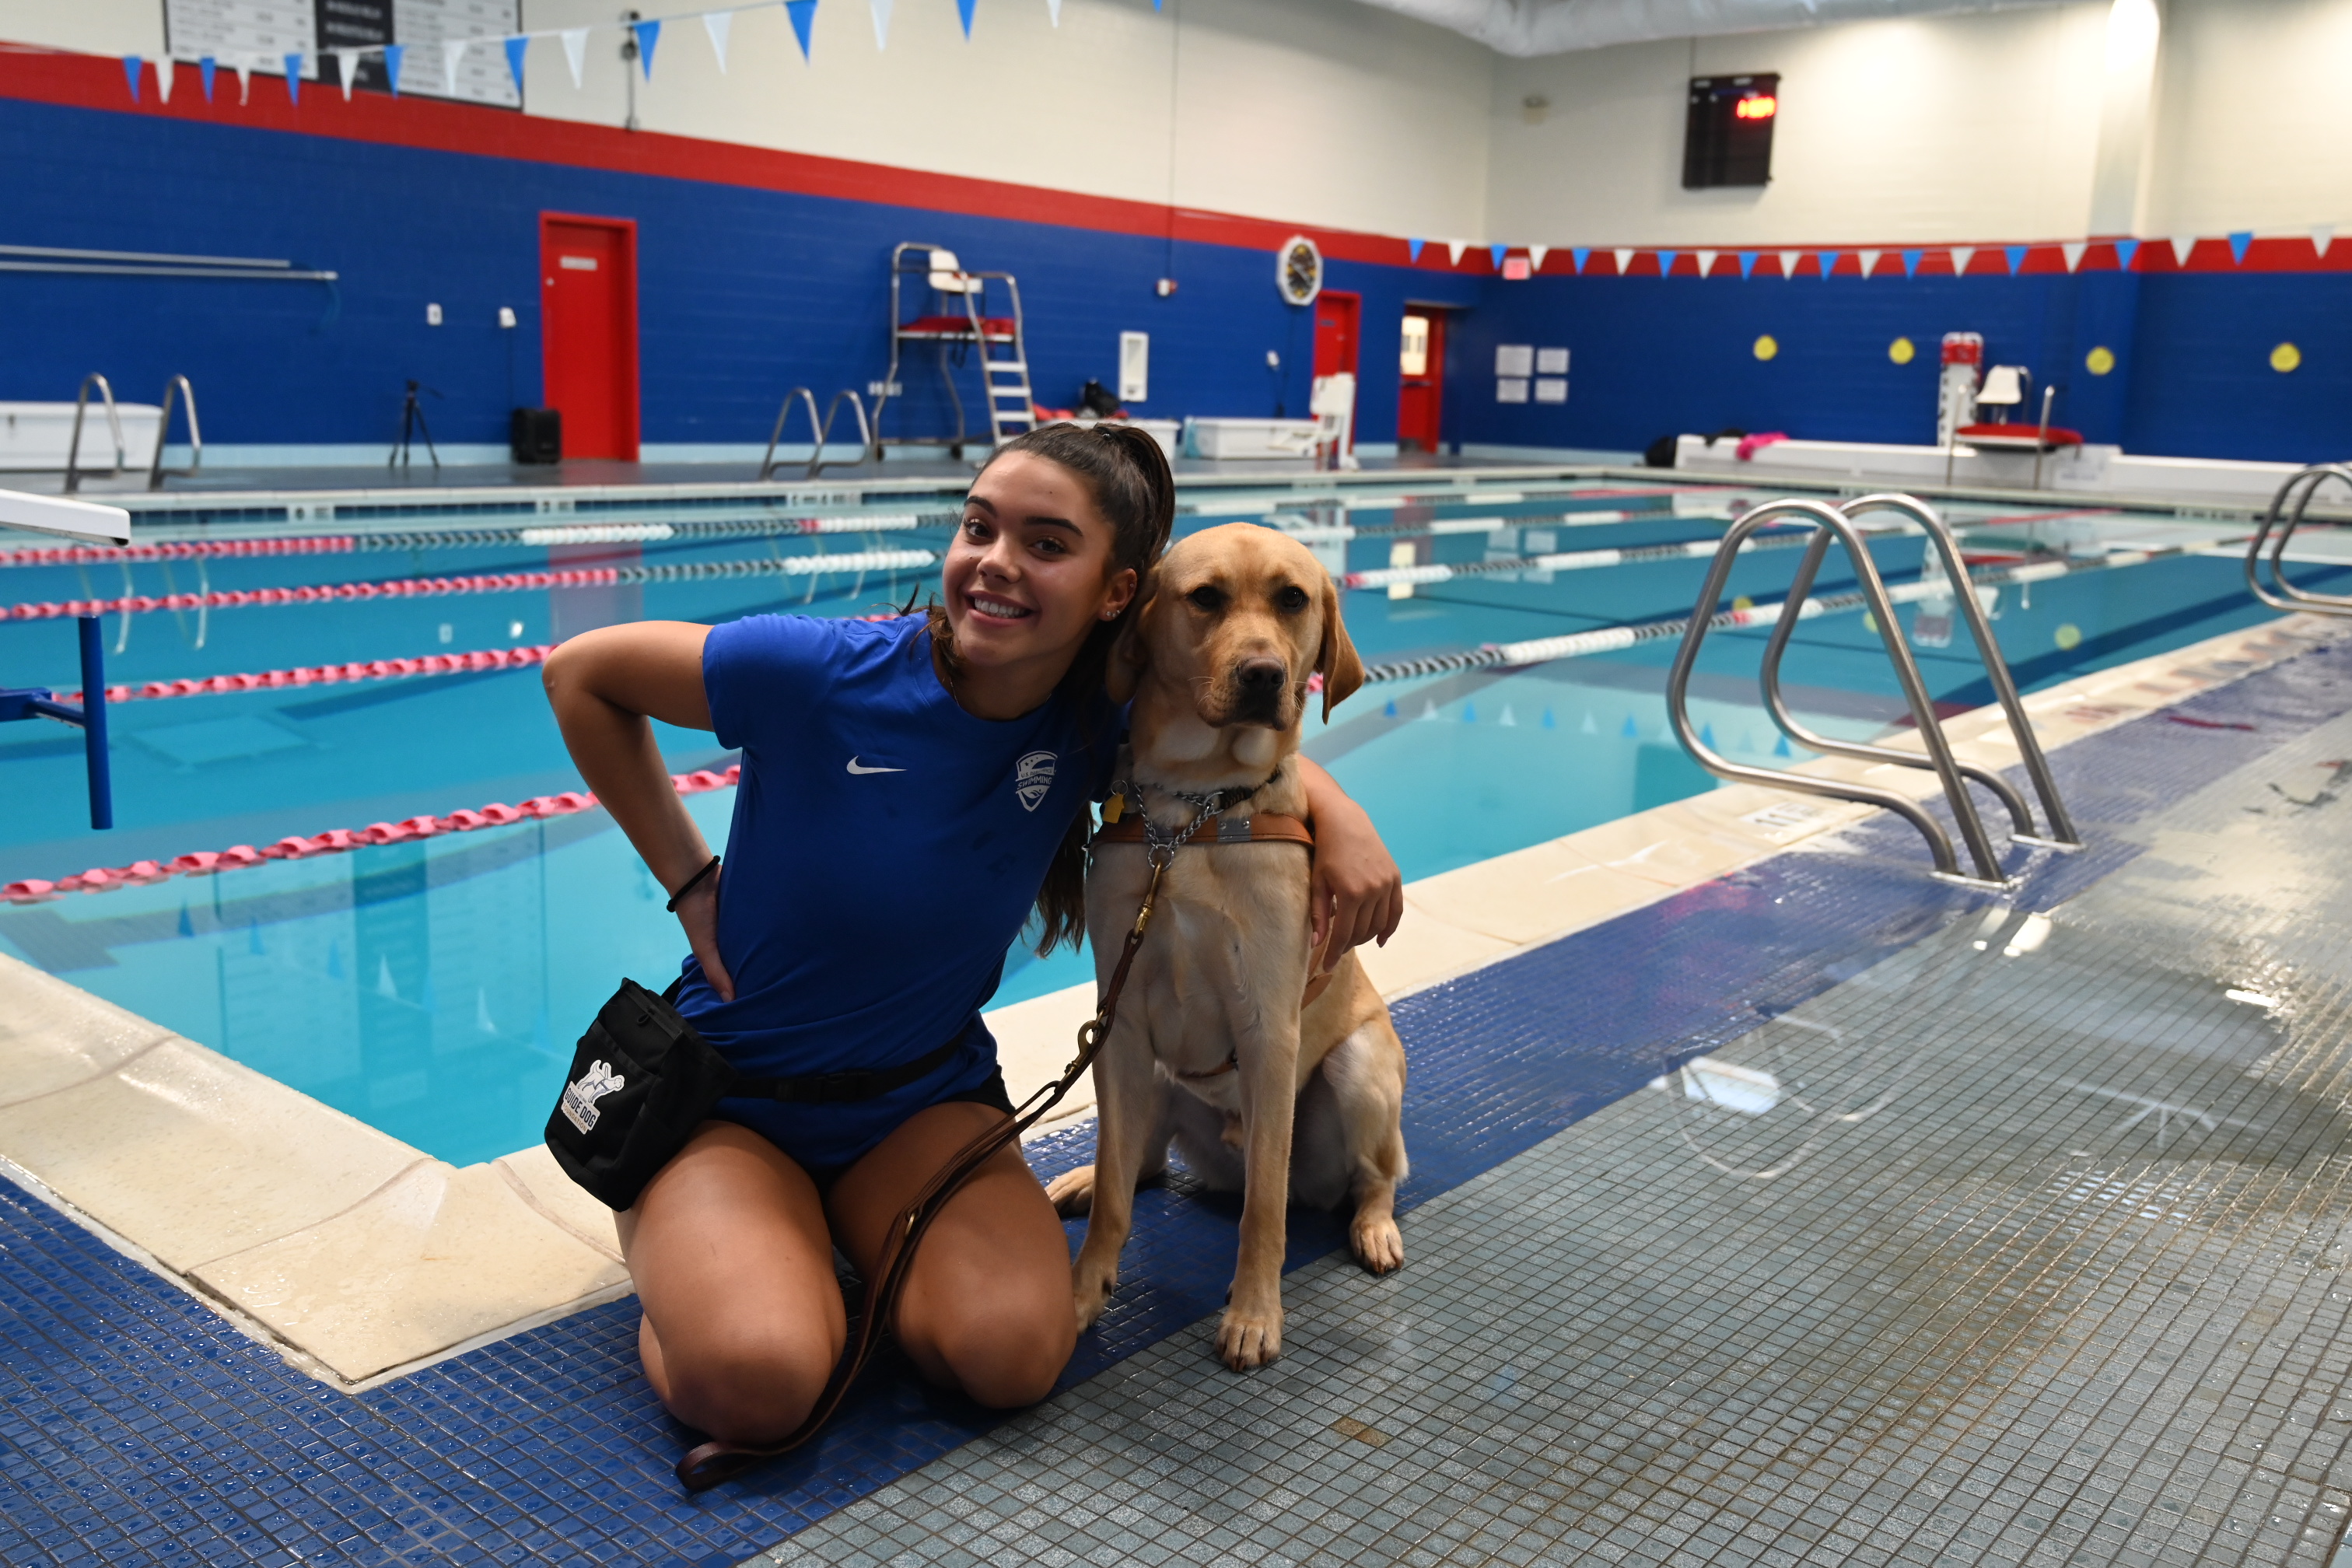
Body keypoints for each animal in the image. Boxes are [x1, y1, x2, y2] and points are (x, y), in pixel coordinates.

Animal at [1053, 521, 1411, 1363]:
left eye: (1293, 599)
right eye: (1206, 597)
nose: (1263, 674)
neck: (1193, 811)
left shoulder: (1267, 1031)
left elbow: (1264, 1211)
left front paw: (1253, 1313)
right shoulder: (1119, 1024)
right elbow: (1117, 1191)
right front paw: (1083, 1292)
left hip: (1358, 1070)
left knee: (1371, 1177)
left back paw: (1374, 1227)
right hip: (1146, 1076)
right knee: (1139, 1161)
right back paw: (1081, 1180)